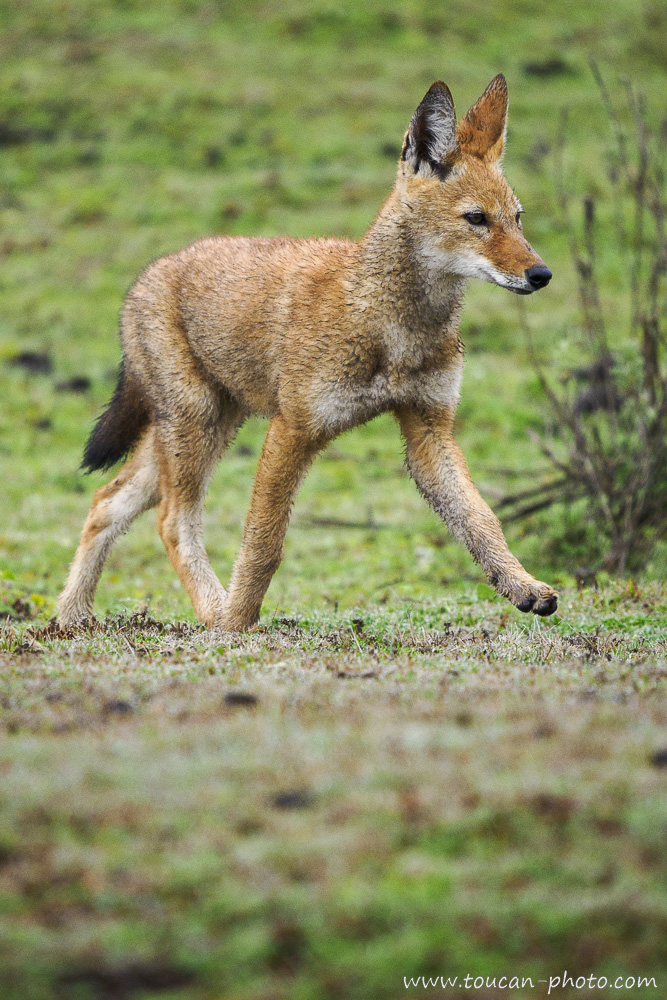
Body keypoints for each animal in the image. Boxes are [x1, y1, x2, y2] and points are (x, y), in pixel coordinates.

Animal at [58, 74, 557, 630]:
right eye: (476, 219)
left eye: (517, 219)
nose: (541, 274)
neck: (393, 329)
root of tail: (149, 274)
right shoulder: (292, 430)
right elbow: (265, 545)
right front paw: (237, 626)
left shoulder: (428, 431)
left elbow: (481, 520)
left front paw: (524, 586)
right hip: (197, 430)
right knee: (171, 520)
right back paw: (212, 614)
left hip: (201, 432)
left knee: (106, 501)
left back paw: (69, 618)